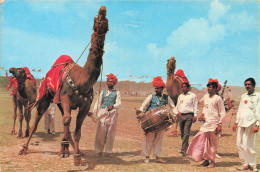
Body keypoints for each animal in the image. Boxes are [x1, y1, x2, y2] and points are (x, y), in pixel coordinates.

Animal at [17, 6, 108, 166]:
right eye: (95, 20)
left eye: (106, 20)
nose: (103, 9)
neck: (81, 81)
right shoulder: (65, 99)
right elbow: (66, 120)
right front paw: (70, 153)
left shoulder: (85, 106)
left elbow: (77, 130)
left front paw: (77, 156)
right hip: (46, 97)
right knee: (37, 121)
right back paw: (24, 148)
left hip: (58, 101)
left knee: (67, 122)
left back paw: (70, 149)